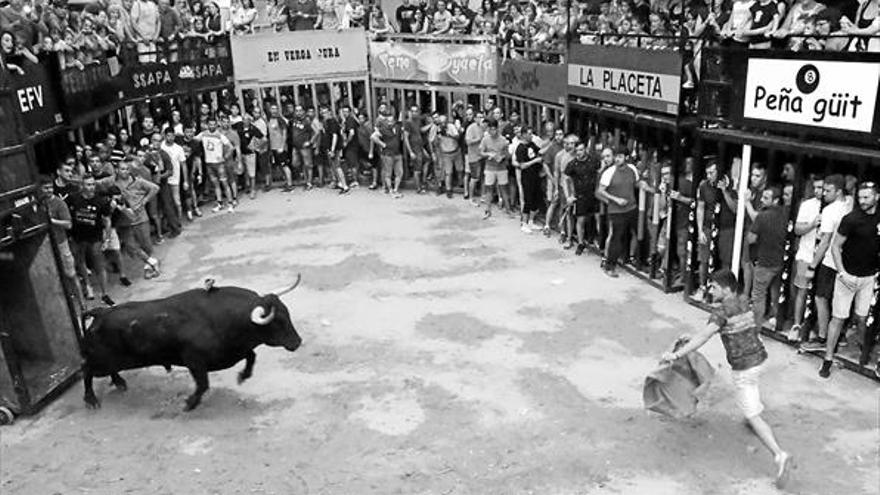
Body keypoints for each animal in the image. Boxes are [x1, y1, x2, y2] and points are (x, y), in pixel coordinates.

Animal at [82, 278, 302, 412]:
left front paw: (243, 376)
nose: (298, 342)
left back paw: (119, 382)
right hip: (100, 361)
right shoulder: (195, 362)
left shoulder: (235, 350)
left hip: (109, 361)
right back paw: (91, 400)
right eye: (278, 321)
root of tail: (100, 312)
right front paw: (190, 403)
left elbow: (252, 356)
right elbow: (203, 385)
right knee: (86, 370)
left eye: (287, 314)